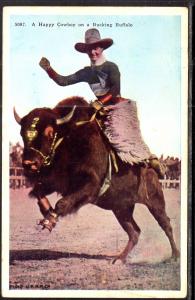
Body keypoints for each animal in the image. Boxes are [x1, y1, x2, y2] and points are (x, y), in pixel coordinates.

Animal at [13, 96, 179, 262]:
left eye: (50, 132)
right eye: (22, 133)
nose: (29, 163)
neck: (68, 138)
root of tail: (151, 170)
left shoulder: (90, 186)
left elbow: (62, 203)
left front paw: (49, 221)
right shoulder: (56, 182)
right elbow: (38, 191)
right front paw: (46, 212)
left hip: (155, 202)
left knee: (166, 224)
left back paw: (174, 256)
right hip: (121, 209)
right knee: (134, 232)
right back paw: (119, 259)